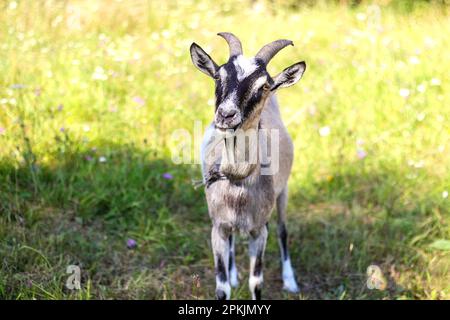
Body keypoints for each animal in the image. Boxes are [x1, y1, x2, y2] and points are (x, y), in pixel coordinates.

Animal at [188, 32, 308, 300]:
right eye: (218, 76)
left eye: (263, 86)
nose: (226, 115)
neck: (238, 178)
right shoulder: (218, 227)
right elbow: (221, 286)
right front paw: (229, 279)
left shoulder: (258, 232)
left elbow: (257, 281)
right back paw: (234, 274)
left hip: (283, 192)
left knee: (282, 230)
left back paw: (290, 281)